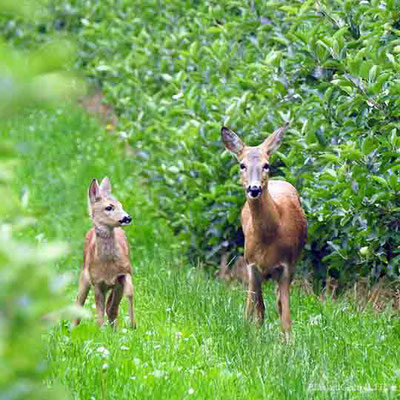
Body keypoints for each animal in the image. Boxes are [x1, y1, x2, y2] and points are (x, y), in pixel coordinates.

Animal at [220, 124, 308, 334]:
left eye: (266, 165)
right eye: (242, 165)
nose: (254, 189)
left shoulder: (287, 267)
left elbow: (286, 318)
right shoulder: (251, 265)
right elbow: (250, 311)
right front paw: (247, 334)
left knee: (275, 305)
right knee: (259, 308)